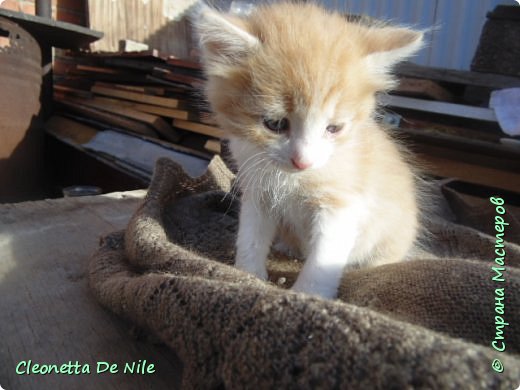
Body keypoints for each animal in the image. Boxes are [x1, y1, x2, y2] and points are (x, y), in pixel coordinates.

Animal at [195, 1, 422, 298]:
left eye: (334, 128)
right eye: (275, 124)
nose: (303, 161)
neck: (295, 179)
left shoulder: (342, 202)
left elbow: (325, 254)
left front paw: (309, 294)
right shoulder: (258, 190)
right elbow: (251, 236)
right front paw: (247, 273)